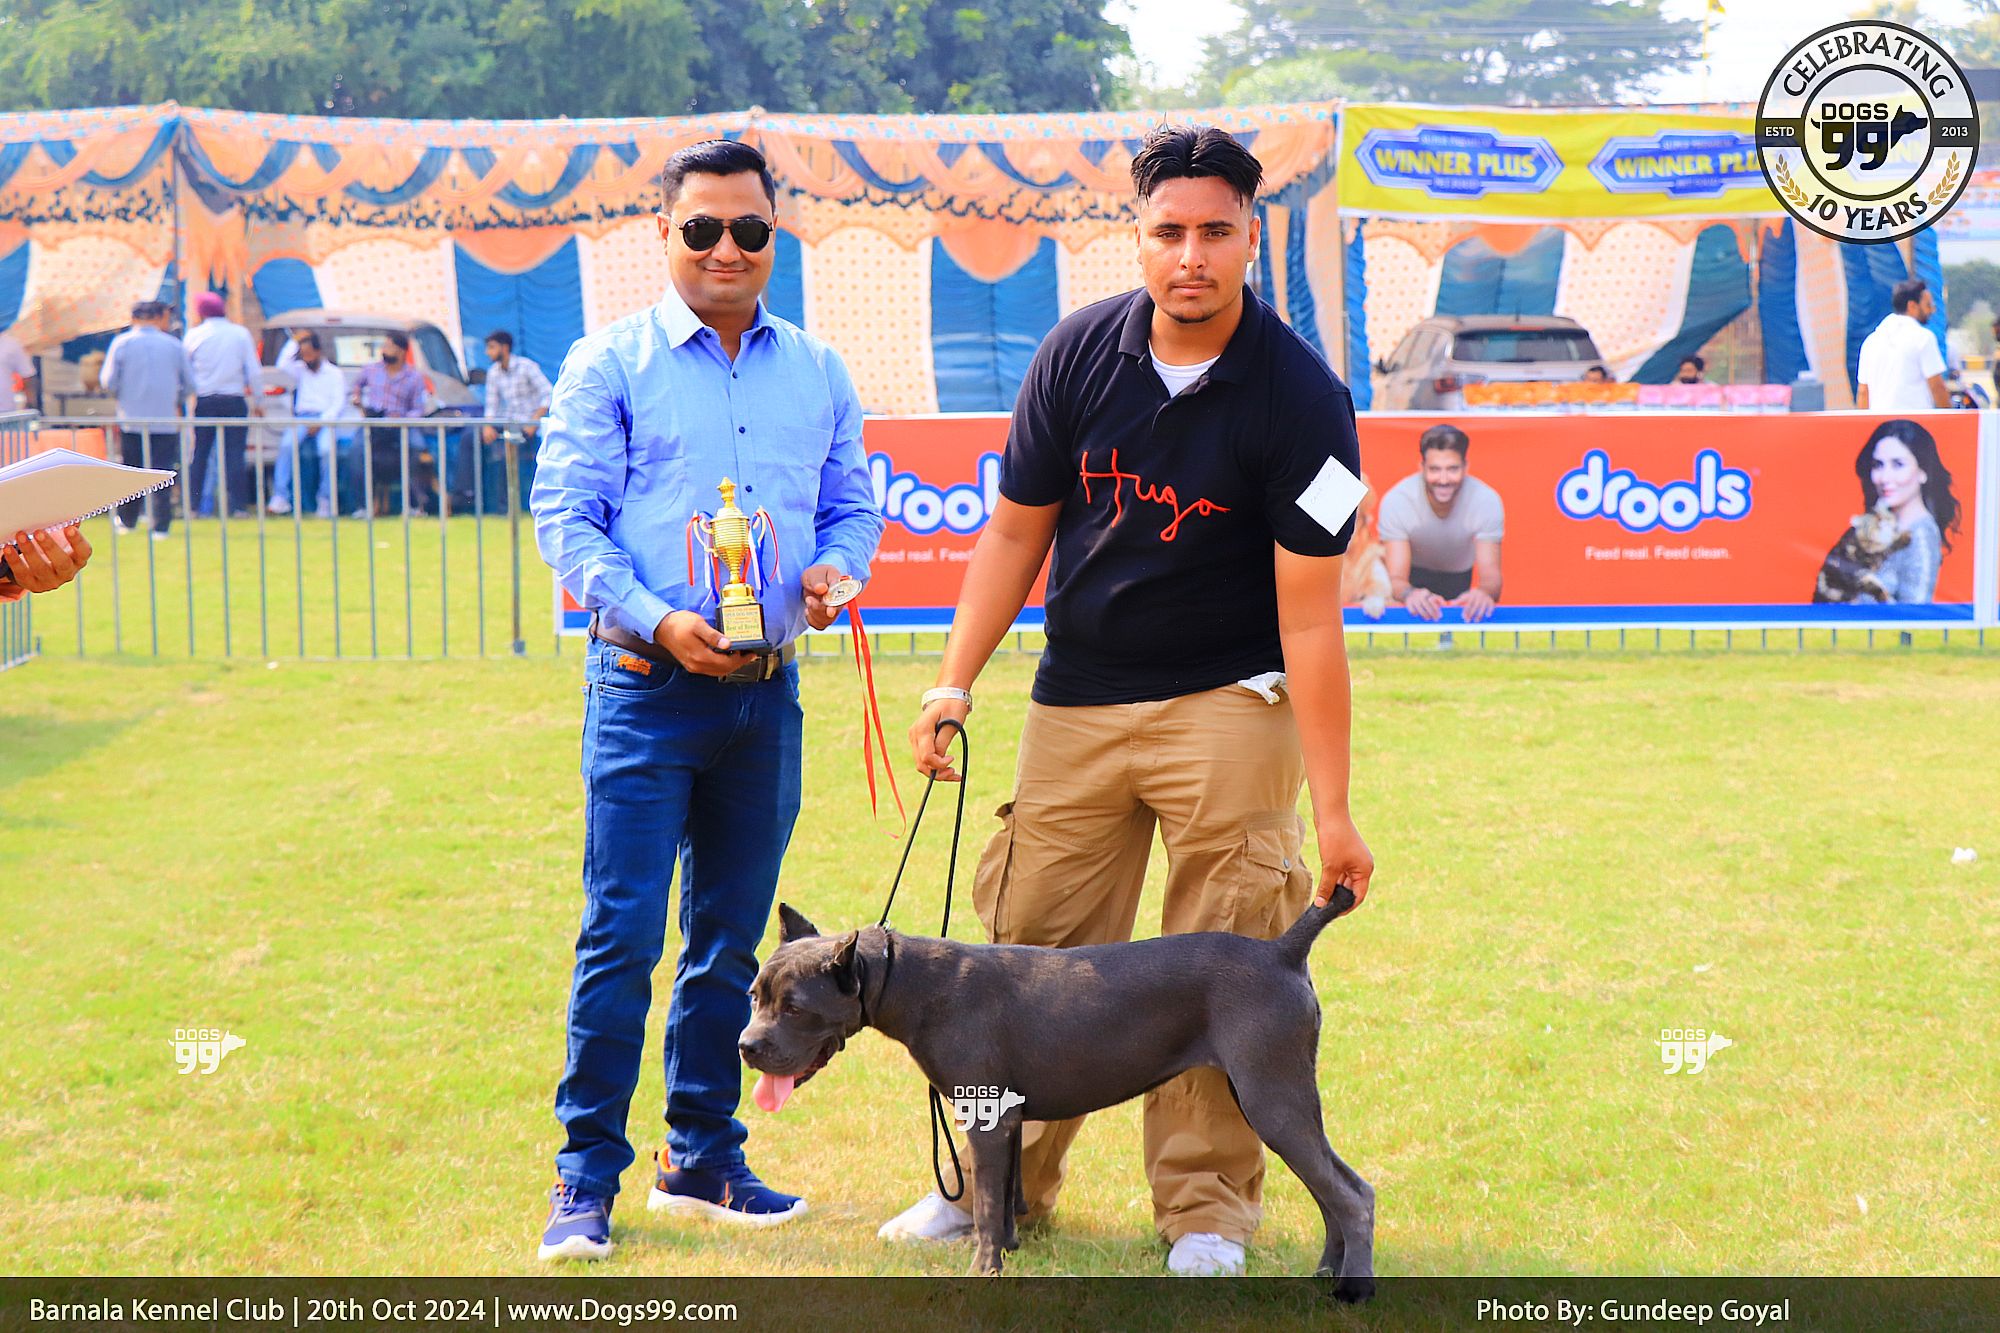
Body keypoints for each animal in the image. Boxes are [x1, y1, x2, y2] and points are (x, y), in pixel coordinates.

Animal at [738, 892, 1375, 1295]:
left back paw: (1353, 1291)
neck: (909, 983)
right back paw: (1326, 1274)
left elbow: (987, 1203)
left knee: (1351, 1196)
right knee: (1339, 1189)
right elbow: (1005, 1199)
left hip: (1272, 1097)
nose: (745, 1046)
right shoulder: (1008, 1118)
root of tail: (1281, 950)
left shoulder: (985, 1119)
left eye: (795, 1007)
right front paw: (1009, 1254)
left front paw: (982, 1274)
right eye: (754, 994)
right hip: (1279, 1098)